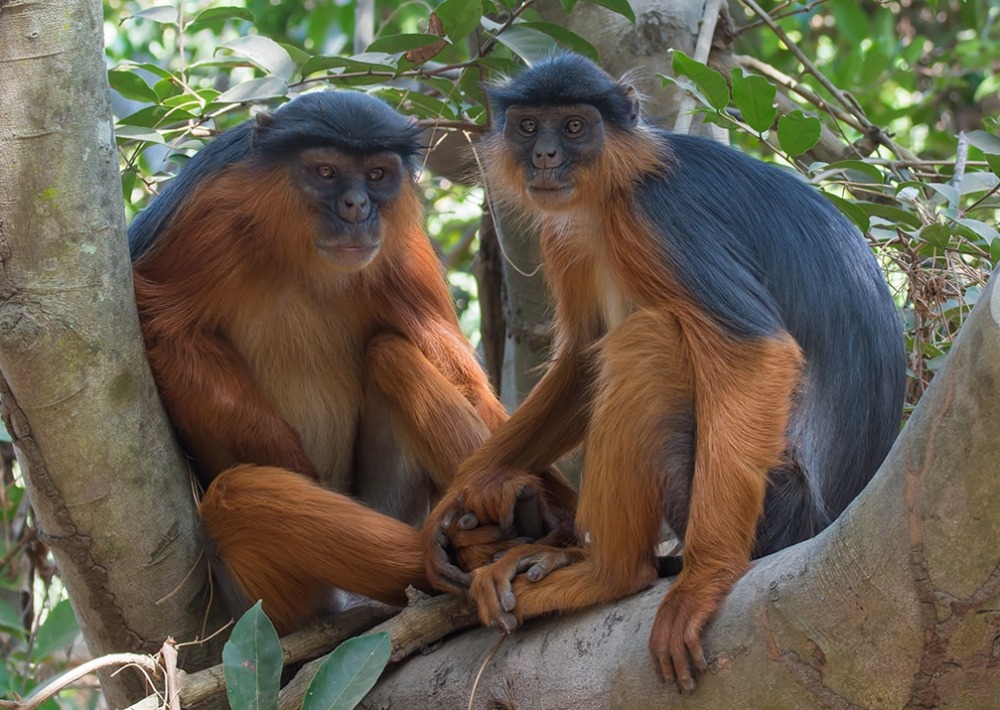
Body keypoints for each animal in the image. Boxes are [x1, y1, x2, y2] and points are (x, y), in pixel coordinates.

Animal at [422, 57, 908, 696]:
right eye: (528, 127)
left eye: (574, 127)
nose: (545, 157)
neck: (615, 187)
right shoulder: (568, 234)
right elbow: (581, 366)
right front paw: (464, 492)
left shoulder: (659, 216)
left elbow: (756, 351)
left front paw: (703, 583)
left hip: (773, 509)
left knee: (648, 342)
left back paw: (609, 574)